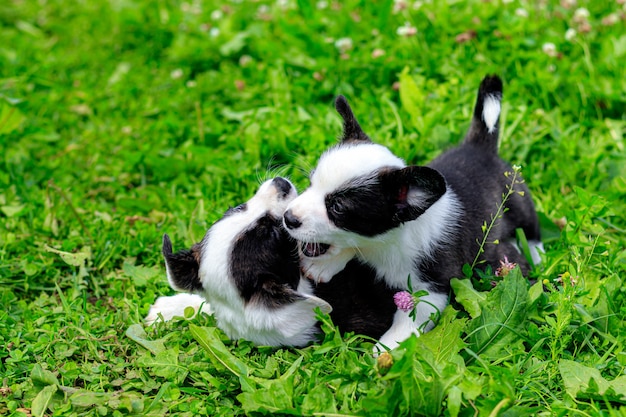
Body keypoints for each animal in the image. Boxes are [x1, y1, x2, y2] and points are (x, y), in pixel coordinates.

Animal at [282, 75, 540, 352]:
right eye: (311, 183)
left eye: (338, 207)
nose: (288, 218)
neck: (386, 245)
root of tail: (481, 145)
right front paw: (324, 264)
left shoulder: (431, 289)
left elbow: (406, 324)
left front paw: (384, 353)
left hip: (519, 202)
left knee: (530, 230)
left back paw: (536, 255)